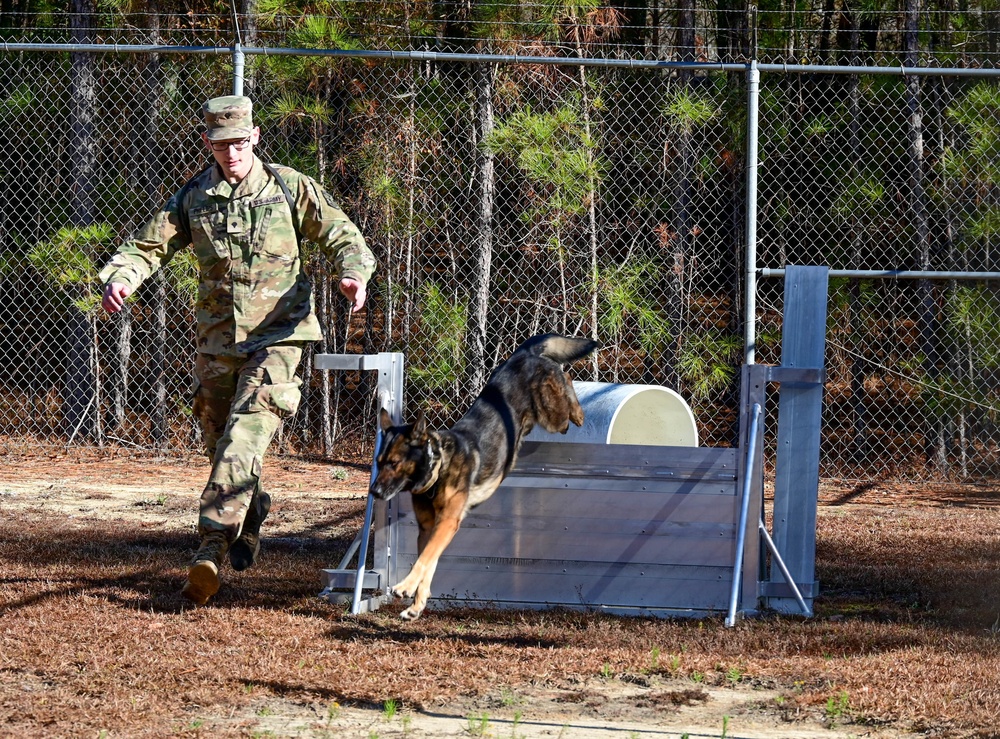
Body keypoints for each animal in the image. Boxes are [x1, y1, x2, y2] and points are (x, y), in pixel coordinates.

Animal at [372, 334, 596, 620]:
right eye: (378, 463)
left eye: (394, 463)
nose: (374, 493)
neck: (439, 467)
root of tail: (523, 354)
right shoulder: (429, 529)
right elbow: (429, 563)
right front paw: (417, 605)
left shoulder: (447, 522)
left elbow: (423, 560)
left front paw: (405, 586)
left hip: (552, 416)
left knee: (567, 381)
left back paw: (578, 412)